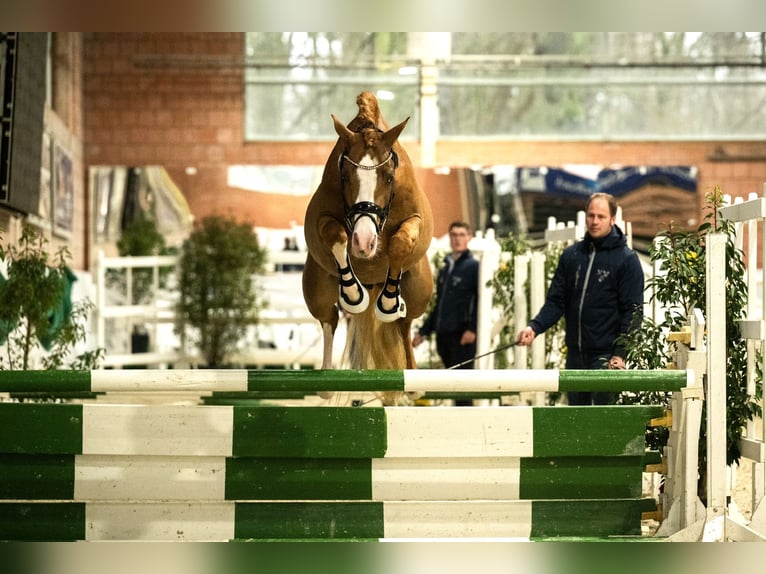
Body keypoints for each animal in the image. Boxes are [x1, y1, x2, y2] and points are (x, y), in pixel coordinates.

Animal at [302, 92, 432, 394]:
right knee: (329, 320)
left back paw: (413, 377)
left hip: (420, 290)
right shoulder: (323, 219)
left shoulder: (415, 219)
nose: (364, 241)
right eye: (346, 177)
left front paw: (388, 302)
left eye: (389, 177)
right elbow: (336, 235)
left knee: (405, 322)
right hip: (316, 290)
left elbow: (400, 242)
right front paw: (353, 294)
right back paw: (326, 381)